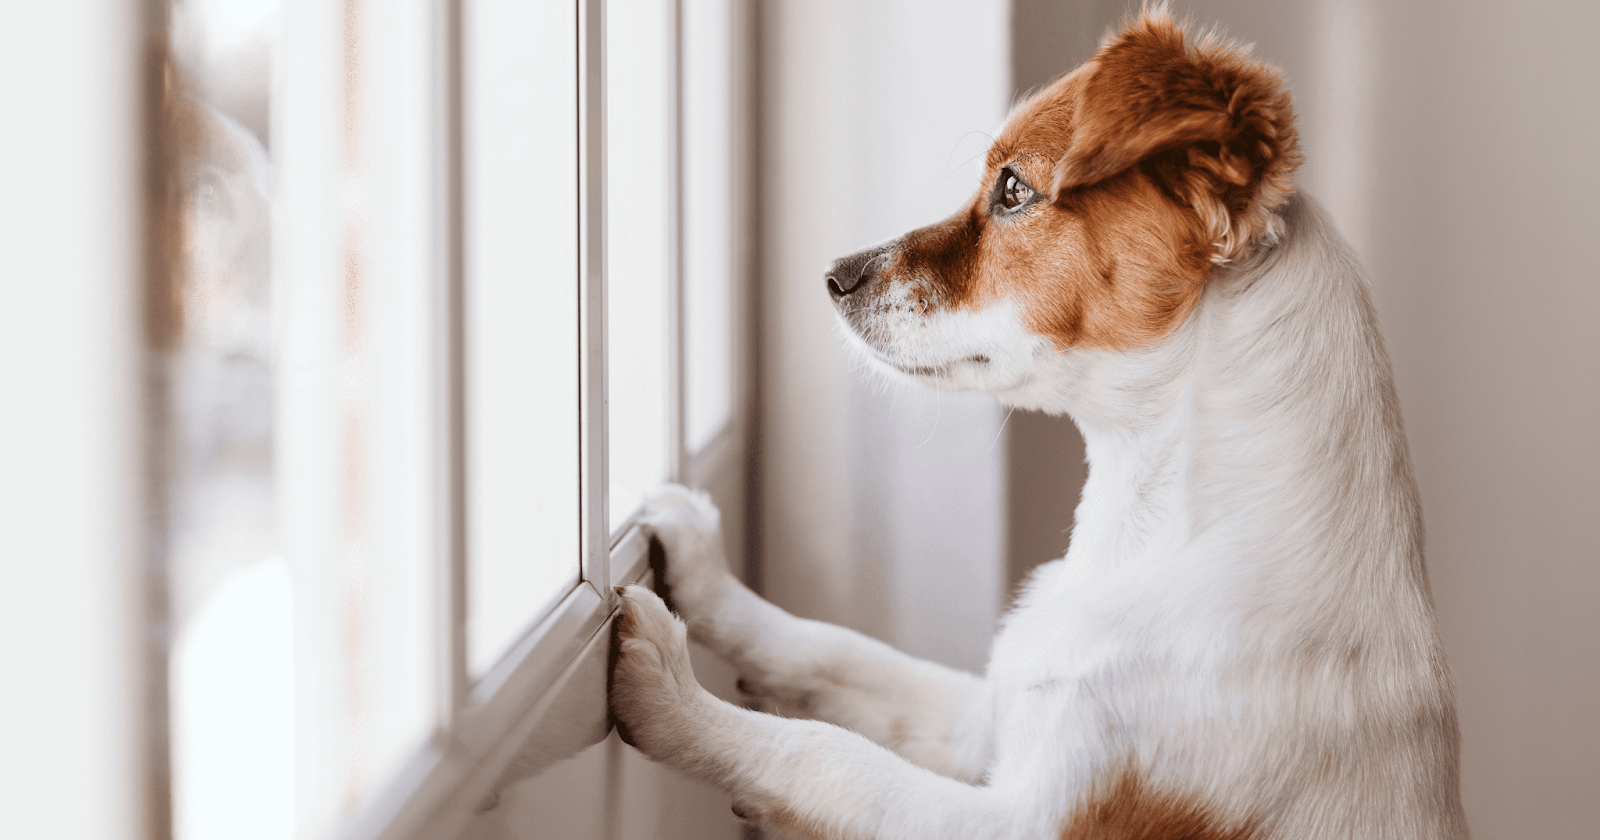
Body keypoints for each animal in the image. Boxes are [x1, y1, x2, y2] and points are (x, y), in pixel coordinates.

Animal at [611, 8, 1472, 838]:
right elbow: (834, 651)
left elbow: (827, 758)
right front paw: (705, 573)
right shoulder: (987, 719)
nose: (833, 275)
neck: (1146, 533)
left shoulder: (1029, 817)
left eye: (1014, 190)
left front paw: (673, 693)